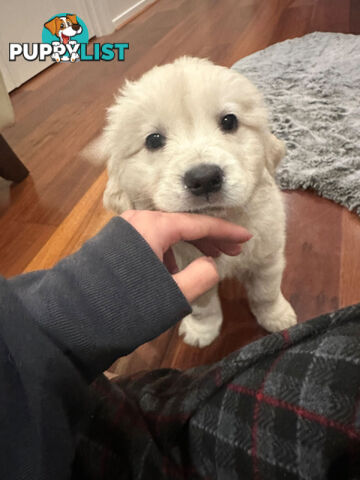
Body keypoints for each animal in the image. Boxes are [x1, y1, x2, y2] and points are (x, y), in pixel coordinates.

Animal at [86, 58, 296, 346]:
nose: (204, 178)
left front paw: (276, 316)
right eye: (153, 139)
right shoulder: (185, 272)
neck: (221, 219)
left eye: (229, 121)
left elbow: (266, 292)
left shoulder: (268, 255)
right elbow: (203, 306)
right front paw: (201, 331)